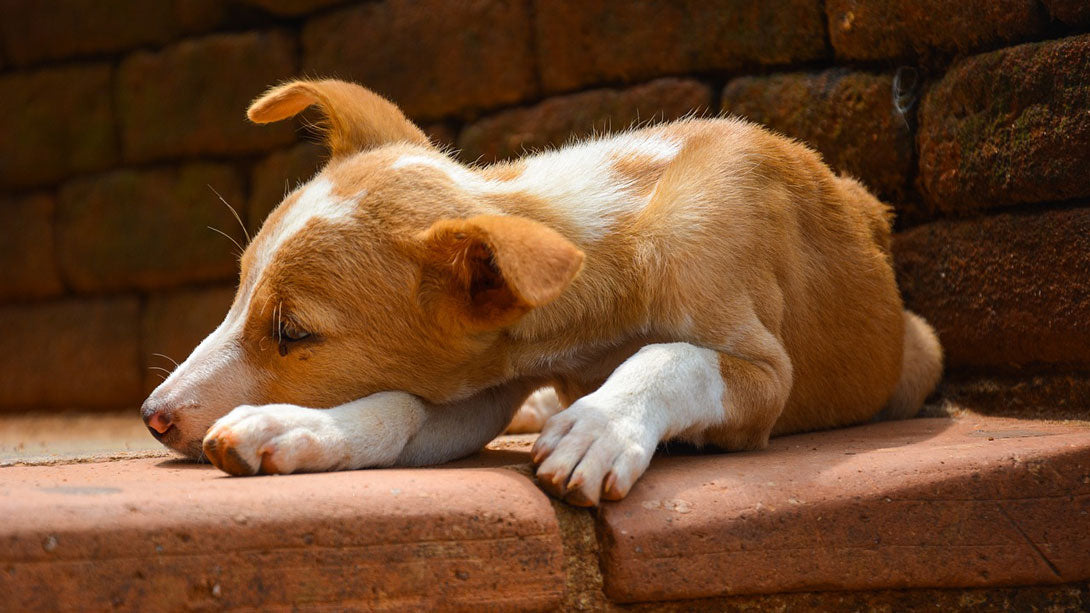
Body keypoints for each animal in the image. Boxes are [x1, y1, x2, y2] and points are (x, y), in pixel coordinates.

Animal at [142, 78, 946, 503]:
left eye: (294, 333)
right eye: (239, 290)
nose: (152, 416)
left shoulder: (765, 375)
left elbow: (674, 356)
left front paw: (600, 428)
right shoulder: (483, 378)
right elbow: (400, 405)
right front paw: (287, 428)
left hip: (920, 355)